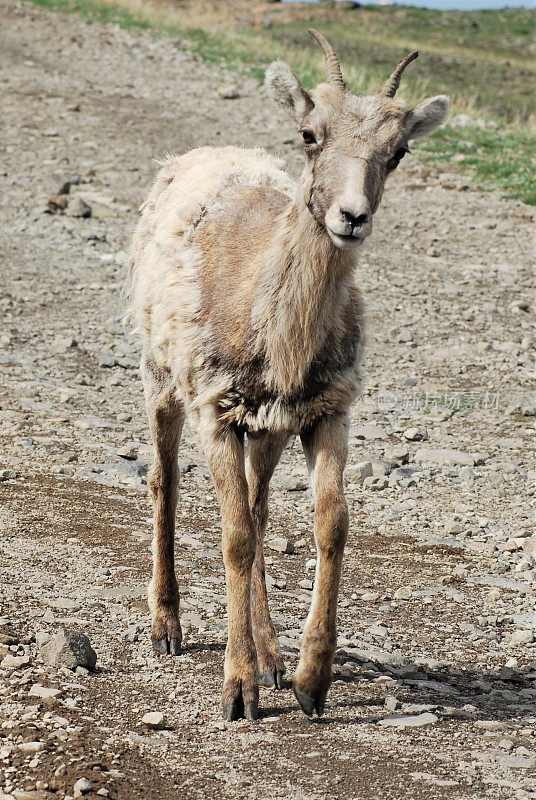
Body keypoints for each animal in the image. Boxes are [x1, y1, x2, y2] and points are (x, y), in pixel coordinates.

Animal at [129, 29, 448, 720]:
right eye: (309, 133)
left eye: (399, 152)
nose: (351, 217)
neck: (277, 336)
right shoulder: (216, 411)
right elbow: (234, 538)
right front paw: (238, 691)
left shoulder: (326, 412)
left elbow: (329, 526)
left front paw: (308, 681)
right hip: (162, 382)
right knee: (166, 482)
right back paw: (167, 627)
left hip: (271, 428)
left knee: (260, 505)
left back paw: (272, 657)